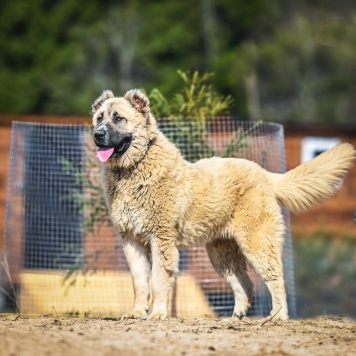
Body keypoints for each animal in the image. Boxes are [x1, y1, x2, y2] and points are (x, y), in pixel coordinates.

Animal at [91, 88, 356, 320]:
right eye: (99, 118)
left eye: (118, 118)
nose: (97, 135)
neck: (134, 168)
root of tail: (264, 174)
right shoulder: (131, 241)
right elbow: (139, 282)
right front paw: (137, 313)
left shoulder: (161, 239)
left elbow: (157, 280)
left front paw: (157, 314)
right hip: (222, 254)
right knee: (244, 283)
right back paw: (234, 318)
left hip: (258, 242)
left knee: (276, 279)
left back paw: (278, 316)